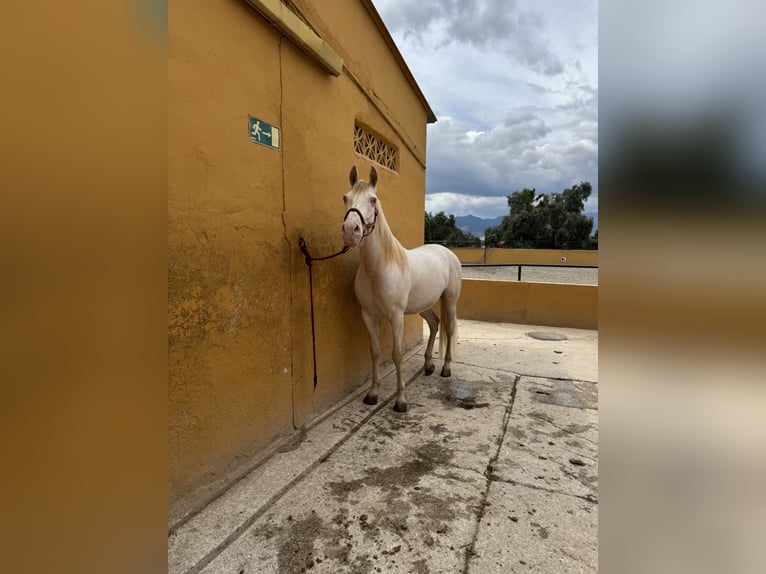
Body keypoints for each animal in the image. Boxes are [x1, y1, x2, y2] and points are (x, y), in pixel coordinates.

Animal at [341, 165, 462, 412]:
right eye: (345, 198)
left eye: (373, 200)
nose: (350, 230)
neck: (380, 268)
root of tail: (447, 252)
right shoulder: (368, 315)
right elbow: (375, 352)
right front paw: (373, 393)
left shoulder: (396, 317)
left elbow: (396, 354)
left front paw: (401, 400)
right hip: (423, 305)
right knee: (434, 324)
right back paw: (428, 365)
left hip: (450, 300)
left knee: (449, 328)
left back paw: (445, 369)